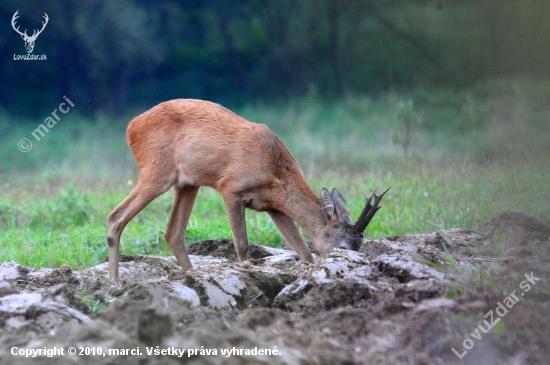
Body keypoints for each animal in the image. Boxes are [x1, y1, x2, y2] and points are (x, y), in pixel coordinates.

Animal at [106, 99, 392, 282]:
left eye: (359, 247)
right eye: (342, 246)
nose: (351, 267)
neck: (273, 169)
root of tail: (131, 127)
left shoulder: (274, 206)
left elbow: (302, 249)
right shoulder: (231, 188)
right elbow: (242, 245)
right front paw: (248, 276)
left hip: (188, 183)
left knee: (173, 233)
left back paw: (192, 276)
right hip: (157, 172)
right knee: (115, 216)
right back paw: (115, 284)